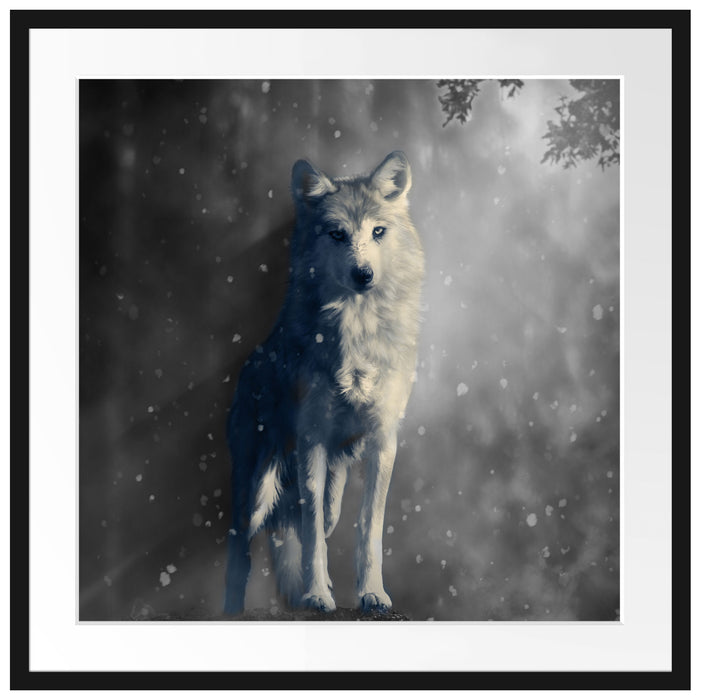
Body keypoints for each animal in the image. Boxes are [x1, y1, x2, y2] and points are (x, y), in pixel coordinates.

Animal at [224, 151, 424, 615]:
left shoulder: (383, 440)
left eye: (377, 232)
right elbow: (312, 532)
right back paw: (235, 609)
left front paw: (373, 594)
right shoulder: (311, 438)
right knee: (242, 551)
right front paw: (317, 596)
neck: (358, 331)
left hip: (328, 482)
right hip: (254, 493)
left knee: (311, 523)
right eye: (337, 234)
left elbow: (369, 528)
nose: (363, 274)